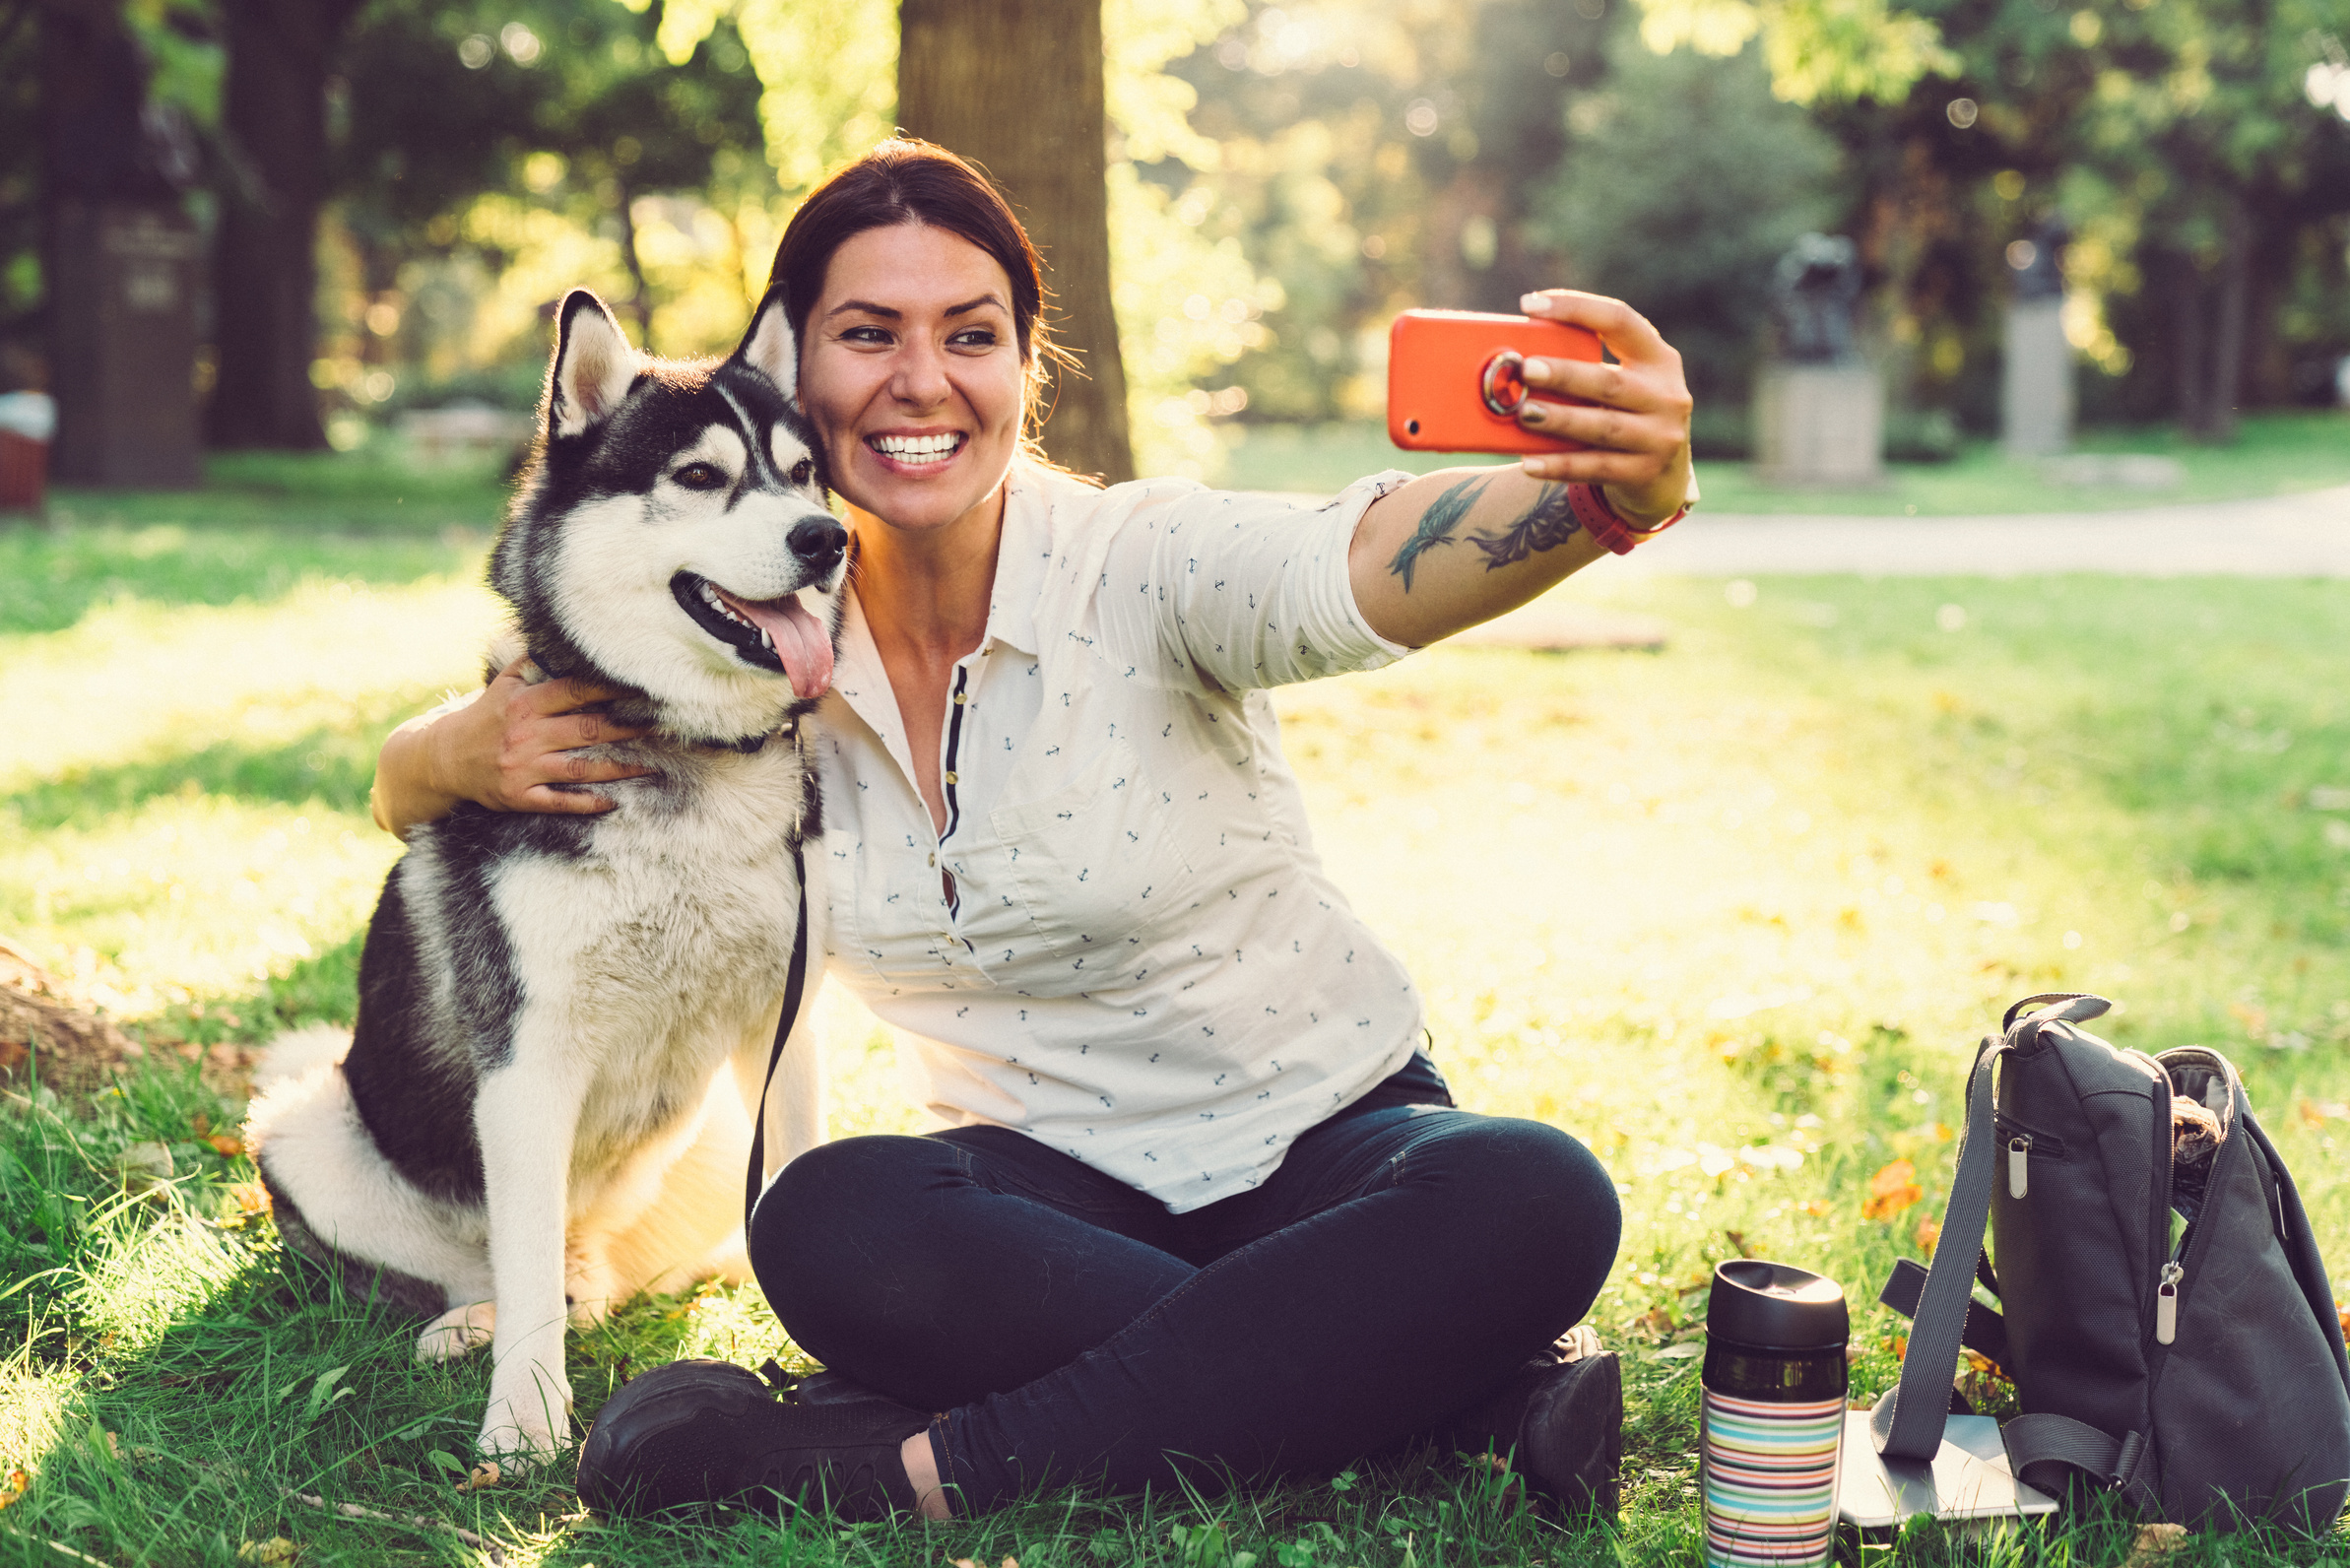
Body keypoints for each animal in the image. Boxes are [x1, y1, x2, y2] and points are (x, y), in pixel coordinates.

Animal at [247, 288, 850, 1467]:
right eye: (698, 476)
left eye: (803, 473)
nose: (827, 539)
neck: (684, 757)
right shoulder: (527, 1056)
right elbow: (520, 1261)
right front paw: (523, 1418)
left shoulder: (785, 1027)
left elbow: (798, 1184)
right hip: (300, 1117)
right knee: (479, 1271)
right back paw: (467, 1326)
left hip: (708, 1135)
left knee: (612, 1274)